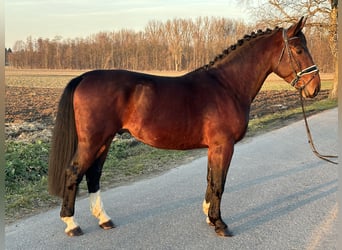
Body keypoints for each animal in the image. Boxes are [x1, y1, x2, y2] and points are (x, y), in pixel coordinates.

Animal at [48, 17, 320, 236]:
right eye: (298, 49)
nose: (315, 88)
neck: (226, 86)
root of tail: (85, 76)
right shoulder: (224, 146)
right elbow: (219, 183)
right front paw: (220, 224)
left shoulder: (214, 147)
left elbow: (210, 179)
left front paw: (209, 217)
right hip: (93, 141)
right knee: (74, 172)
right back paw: (71, 224)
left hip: (104, 140)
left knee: (93, 175)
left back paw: (104, 219)